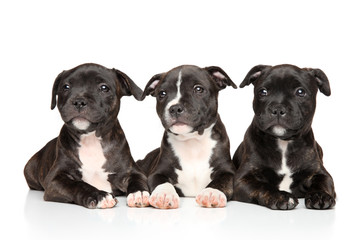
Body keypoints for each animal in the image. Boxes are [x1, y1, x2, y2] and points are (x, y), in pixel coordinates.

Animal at [23, 63, 150, 208]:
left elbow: (138, 179)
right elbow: (77, 185)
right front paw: (99, 195)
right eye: (66, 87)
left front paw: (139, 193)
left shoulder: (133, 171)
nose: (79, 101)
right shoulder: (55, 180)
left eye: (104, 88)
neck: (91, 139)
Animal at [137, 65, 236, 208]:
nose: (175, 108)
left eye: (198, 89)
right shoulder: (157, 172)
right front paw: (164, 194)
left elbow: (222, 181)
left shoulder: (228, 171)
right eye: (162, 93)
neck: (192, 141)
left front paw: (212, 192)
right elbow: (162, 182)